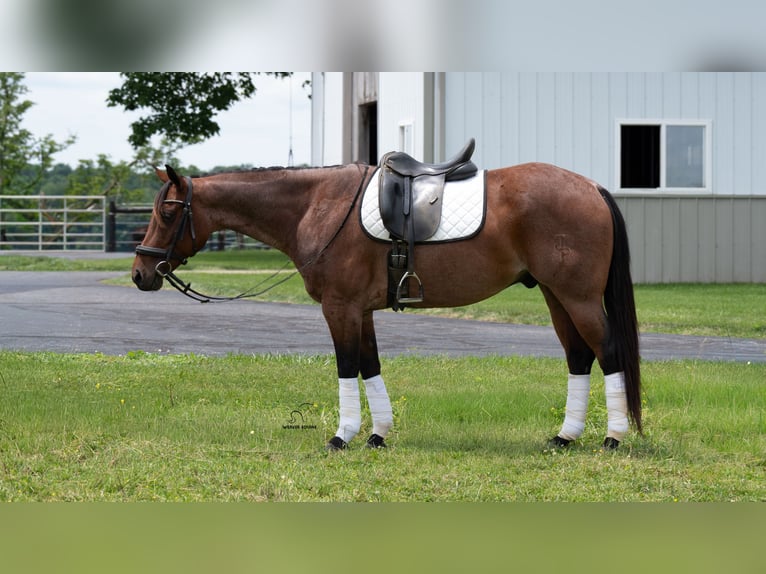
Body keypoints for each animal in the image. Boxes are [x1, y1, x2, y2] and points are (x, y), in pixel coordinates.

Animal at [132, 153, 641, 452]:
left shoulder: (339, 307)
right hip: (557, 297)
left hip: (578, 298)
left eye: (168, 212)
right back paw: (566, 436)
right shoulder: (362, 310)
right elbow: (370, 366)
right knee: (579, 357)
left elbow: (345, 367)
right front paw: (378, 434)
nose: (140, 273)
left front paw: (342, 436)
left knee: (608, 352)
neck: (318, 205)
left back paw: (613, 437)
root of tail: (592, 187)